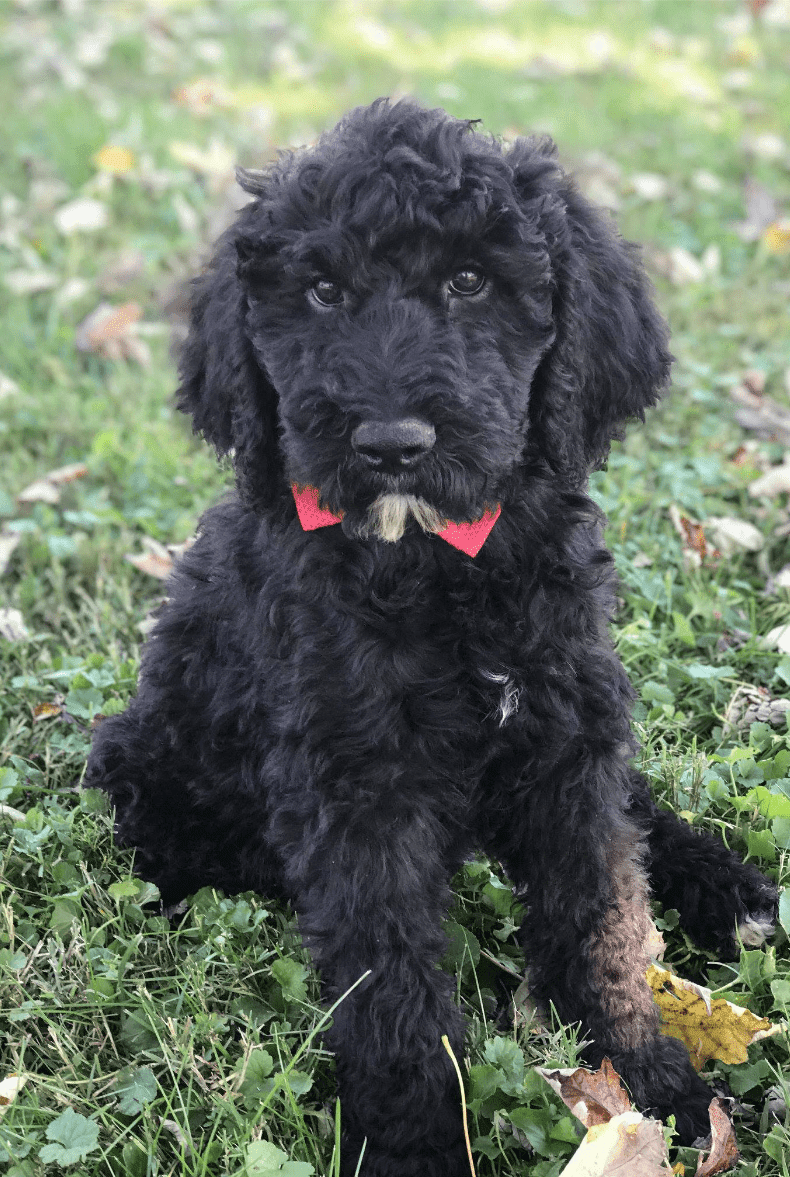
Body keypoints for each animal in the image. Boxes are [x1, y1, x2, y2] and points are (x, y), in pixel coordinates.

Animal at [84, 103, 772, 1177]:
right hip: (150, 768)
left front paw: (649, 1082)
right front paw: (418, 1143)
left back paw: (731, 885)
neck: (437, 565)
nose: (391, 444)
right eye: (322, 291)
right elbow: (392, 981)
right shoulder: (359, 784)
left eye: (470, 281)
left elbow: (605, 915)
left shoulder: (567, 731)